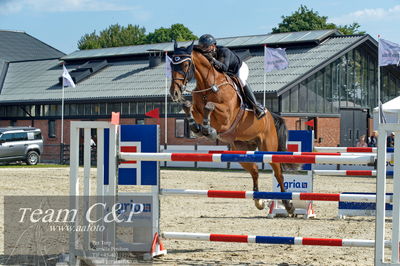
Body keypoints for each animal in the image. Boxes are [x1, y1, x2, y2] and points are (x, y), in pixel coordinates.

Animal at [169, 42, 294, 214]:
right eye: (171, 65)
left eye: (186, 64)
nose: (174, 93)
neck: (209, 84)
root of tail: (271, 116)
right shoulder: (197, 110)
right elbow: (189, 108)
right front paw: (198, 128)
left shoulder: (226, 115)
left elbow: (210, 106)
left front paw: (209, 130)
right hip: (240, 149)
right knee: (255, 170)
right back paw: (259, 201)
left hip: (268, 148)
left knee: (278, 174)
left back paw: (289, 205)